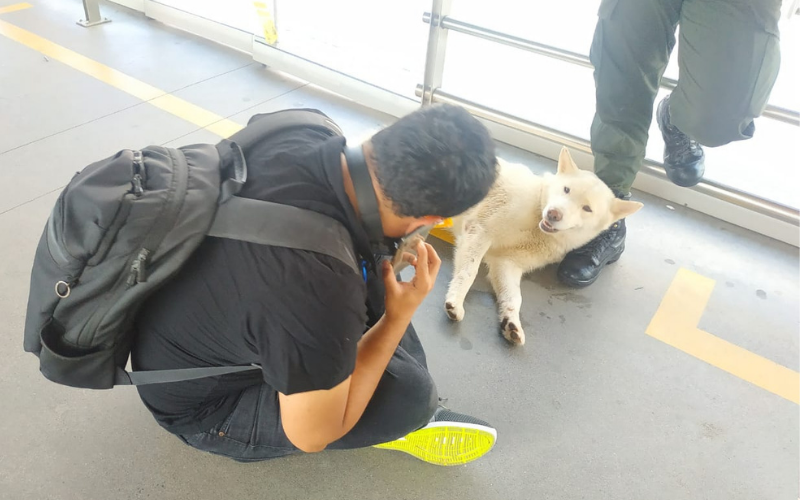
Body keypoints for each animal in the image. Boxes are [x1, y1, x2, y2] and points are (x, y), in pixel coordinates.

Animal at [444, 146, 644, 346]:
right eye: (566, 189)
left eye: (587, 208)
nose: (553, 214)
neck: (536, 219)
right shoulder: (480, 230)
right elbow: (468, 273)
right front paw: (456, 301)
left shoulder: (506, 263)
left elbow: (515, 297)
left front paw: (511, 321)